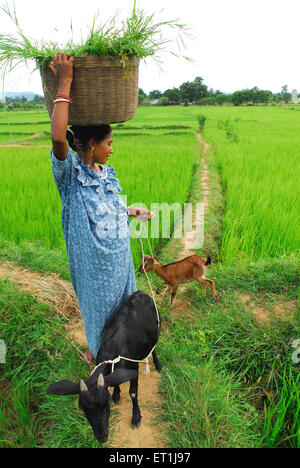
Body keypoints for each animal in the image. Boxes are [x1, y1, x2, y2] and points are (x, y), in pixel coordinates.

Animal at [45, 290, 161, 444]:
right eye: (82, 408)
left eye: (106, 405)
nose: (102, 437)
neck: (112, 351)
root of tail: (141, 293)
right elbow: (115, 380)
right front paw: (116, 393)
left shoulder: (132, 366)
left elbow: (133, 392)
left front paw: (136, 417)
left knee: (153, 348)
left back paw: (158, 363)